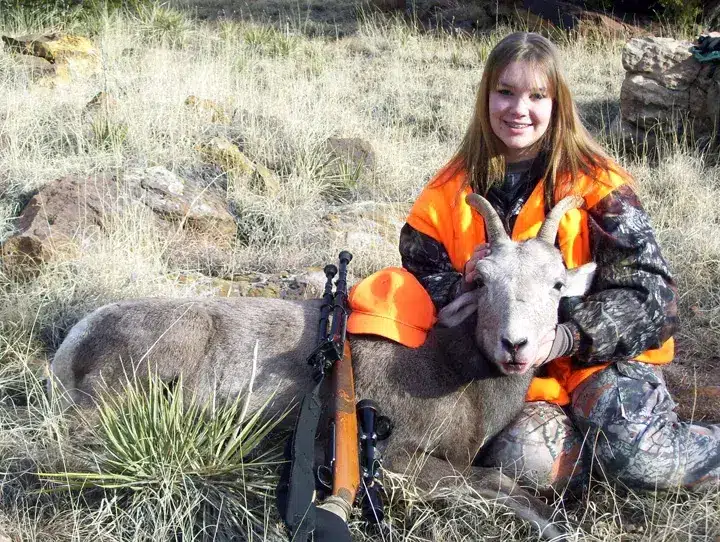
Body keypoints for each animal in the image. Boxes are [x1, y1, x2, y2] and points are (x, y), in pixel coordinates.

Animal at [50, 194, 596, 539]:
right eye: (482, 280)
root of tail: (73, 346)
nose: (515, 345)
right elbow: (504, 488)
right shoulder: (403, 461)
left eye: (556, 285)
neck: (454, 373)